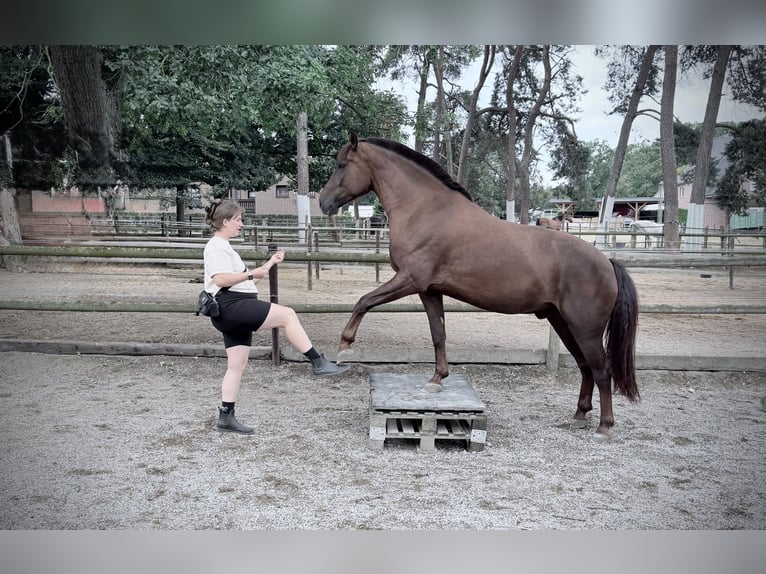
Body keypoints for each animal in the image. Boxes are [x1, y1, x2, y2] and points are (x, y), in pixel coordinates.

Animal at [319, 134, 639, 436]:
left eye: (341, 165)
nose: (323, 202)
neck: (426, 211)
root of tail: (606, 262)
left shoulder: (409, 279)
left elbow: (364, 301)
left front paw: (345, 346)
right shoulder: (429, 291)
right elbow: (438, 334)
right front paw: (437, 379)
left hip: (585, 328)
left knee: (602, 370)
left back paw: (604, 426)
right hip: (562, 321)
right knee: (585, 366)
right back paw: (580, 414)